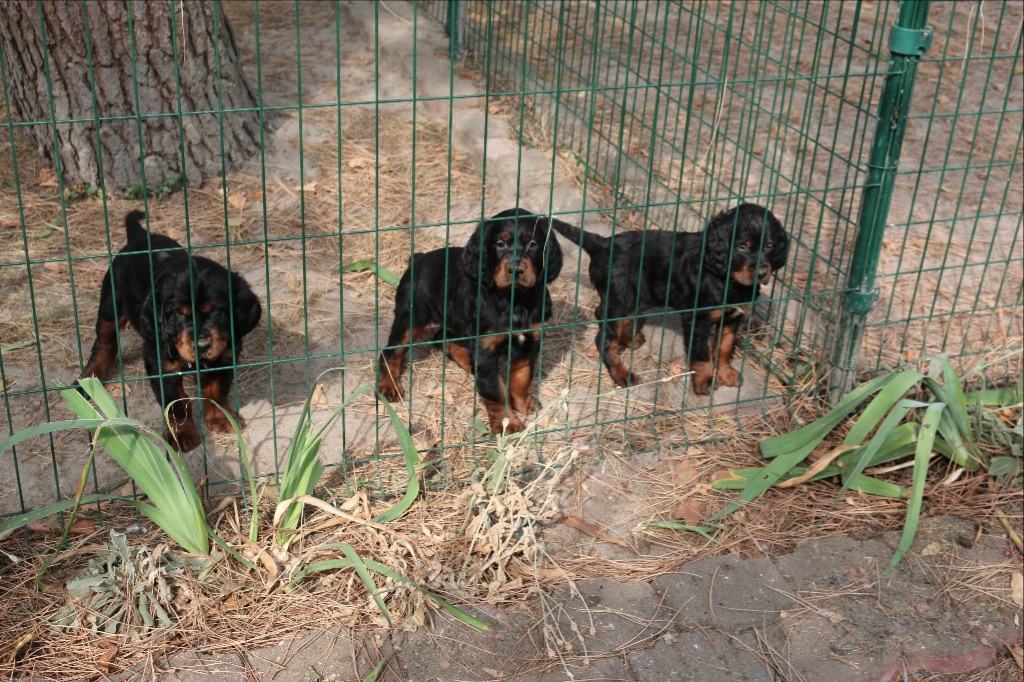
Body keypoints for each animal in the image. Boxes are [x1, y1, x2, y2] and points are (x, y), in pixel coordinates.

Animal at [81, 209, 262, 448]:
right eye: (179, 313)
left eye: (215, 311)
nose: (202, 345)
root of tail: (141, 235)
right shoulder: (161, 363)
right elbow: (175, 402)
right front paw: (182, 435)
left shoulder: (225, 355)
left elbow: (216, 390)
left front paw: (221, 418)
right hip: (110, 303)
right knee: (104, 342)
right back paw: (88, 379)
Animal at [378, 204, 569, 432]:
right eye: (500, 243)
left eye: (532, 244)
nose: (516, 271)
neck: (514, 300)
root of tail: (419, 258)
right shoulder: (486, 348)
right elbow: (496, 392)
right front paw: (508, 425)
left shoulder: (529, 340)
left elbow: (522, 377)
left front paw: (523, 403)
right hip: (411, 316)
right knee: (391, 350)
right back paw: (389, 385)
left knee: (441, 337)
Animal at [548, 201, 786, 393]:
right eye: (742, 246)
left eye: (769, 246)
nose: (762, 272)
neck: (725, 277)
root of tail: (603, 244)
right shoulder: (698, 319)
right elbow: (700, 354)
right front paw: (705, 381)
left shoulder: (732, 317)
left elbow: (725, 347)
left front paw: (727, 374)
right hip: (622, 297)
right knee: (604, 337)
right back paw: (622, 374)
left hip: (634, 297)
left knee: (605, 317)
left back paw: (628, 339)